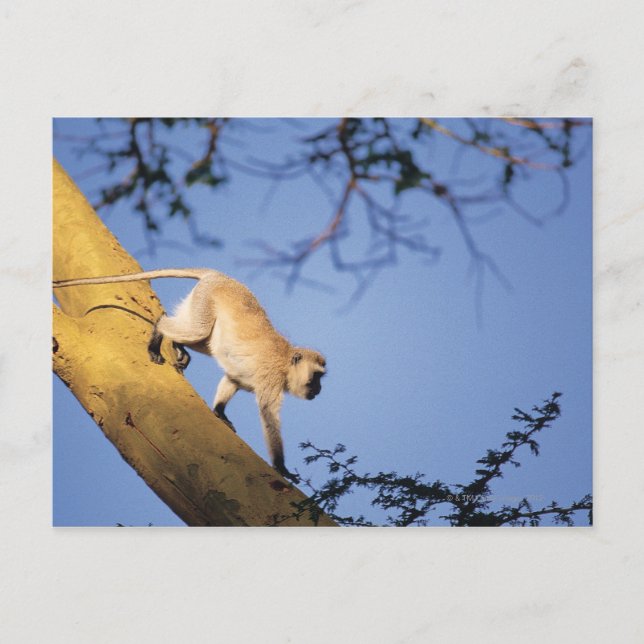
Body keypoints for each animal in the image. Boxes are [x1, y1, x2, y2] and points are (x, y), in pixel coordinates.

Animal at [53, 269, 326, 482]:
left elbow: (232, 379)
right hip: (205, 300)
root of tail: (220, 276)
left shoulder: (247, 376)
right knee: (197, 330)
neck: (286, 362)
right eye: (317, 377)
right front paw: (281, 467)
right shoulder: (271, 378)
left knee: (204, 339)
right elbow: (269, 415)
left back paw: (177, 345)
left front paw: (219, 412)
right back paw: (159, 332)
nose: (319, 390)